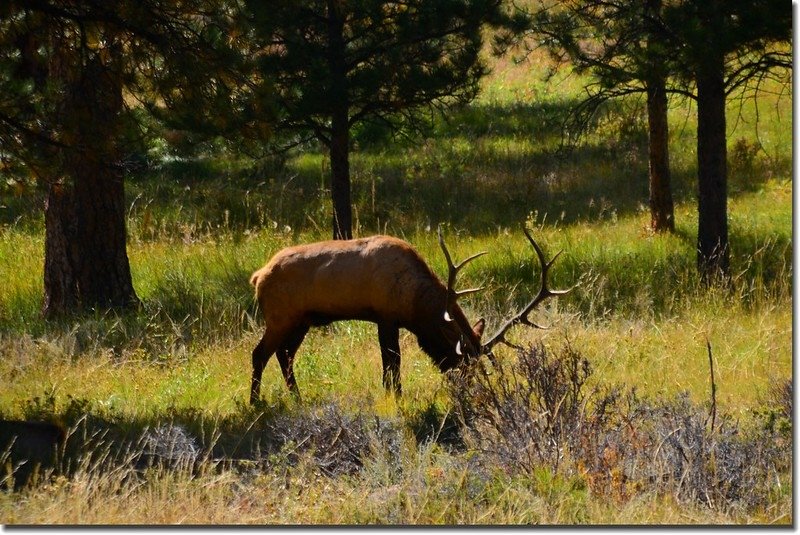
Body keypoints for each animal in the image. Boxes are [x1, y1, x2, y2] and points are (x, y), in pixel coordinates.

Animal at [250, 224, 568, 404]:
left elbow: (391, 363)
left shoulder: (389, 320)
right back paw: (255, 402)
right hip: (280, 316)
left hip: (301, 321)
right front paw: (396, 397)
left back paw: (296, 396)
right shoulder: (385, 316)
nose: (469, 392)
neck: (415, 306)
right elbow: (392, 362)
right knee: (260, 353)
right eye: (460, 362)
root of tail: (258, 276)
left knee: (285, 355)